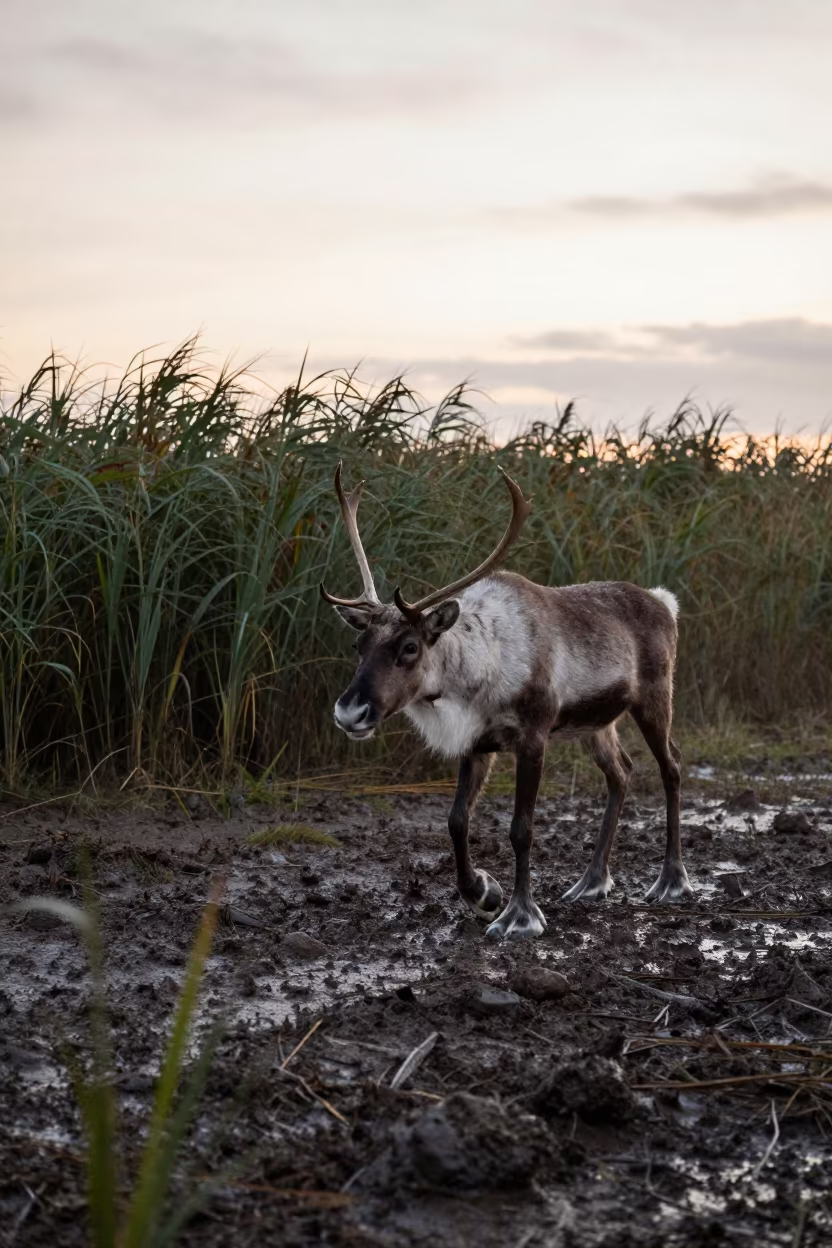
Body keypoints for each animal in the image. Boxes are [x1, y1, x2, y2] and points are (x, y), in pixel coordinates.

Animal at [320, 463, 692, 941]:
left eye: (409, 647)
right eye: (358, 644)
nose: (350, 712)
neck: (480, 668)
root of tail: (665, 603)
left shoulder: (533, 736)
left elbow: (521, 829)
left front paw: (519, 915)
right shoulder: (476, 742)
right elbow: (457, 820)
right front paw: (483, 893)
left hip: (655, 697)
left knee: (671, 766)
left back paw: (671, 881)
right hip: (596, 723)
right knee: (621, 772)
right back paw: (591, 882)